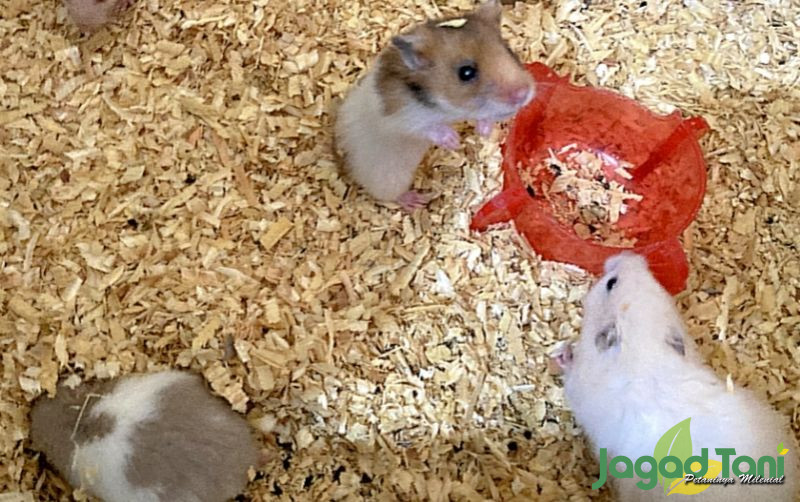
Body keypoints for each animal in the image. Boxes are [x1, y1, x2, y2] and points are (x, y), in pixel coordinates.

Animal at [334, 0, 535, 211]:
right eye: (466, 72)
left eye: (509, 51)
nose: (523, 93)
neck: (442, 106)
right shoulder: (404, 119)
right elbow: (431, 128)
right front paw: (454, 141)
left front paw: (483, 132)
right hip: (390, 177)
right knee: (390, 195)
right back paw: (417, 201)